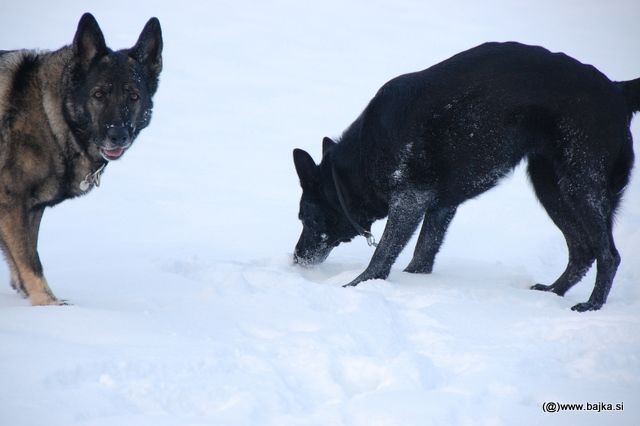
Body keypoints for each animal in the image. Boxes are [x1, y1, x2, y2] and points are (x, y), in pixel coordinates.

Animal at [292, 41, 636, 312]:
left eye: (306, 218)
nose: (296, 258)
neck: (360, 160)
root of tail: (618, 89)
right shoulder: (439, 207)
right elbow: (423, 253)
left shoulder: (409, 201)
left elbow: (383, 252)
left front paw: (356, 286)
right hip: (550, 187)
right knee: (582, 250)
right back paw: (552, 292)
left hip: (581, 185)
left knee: (609, 254)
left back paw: (591, 305)